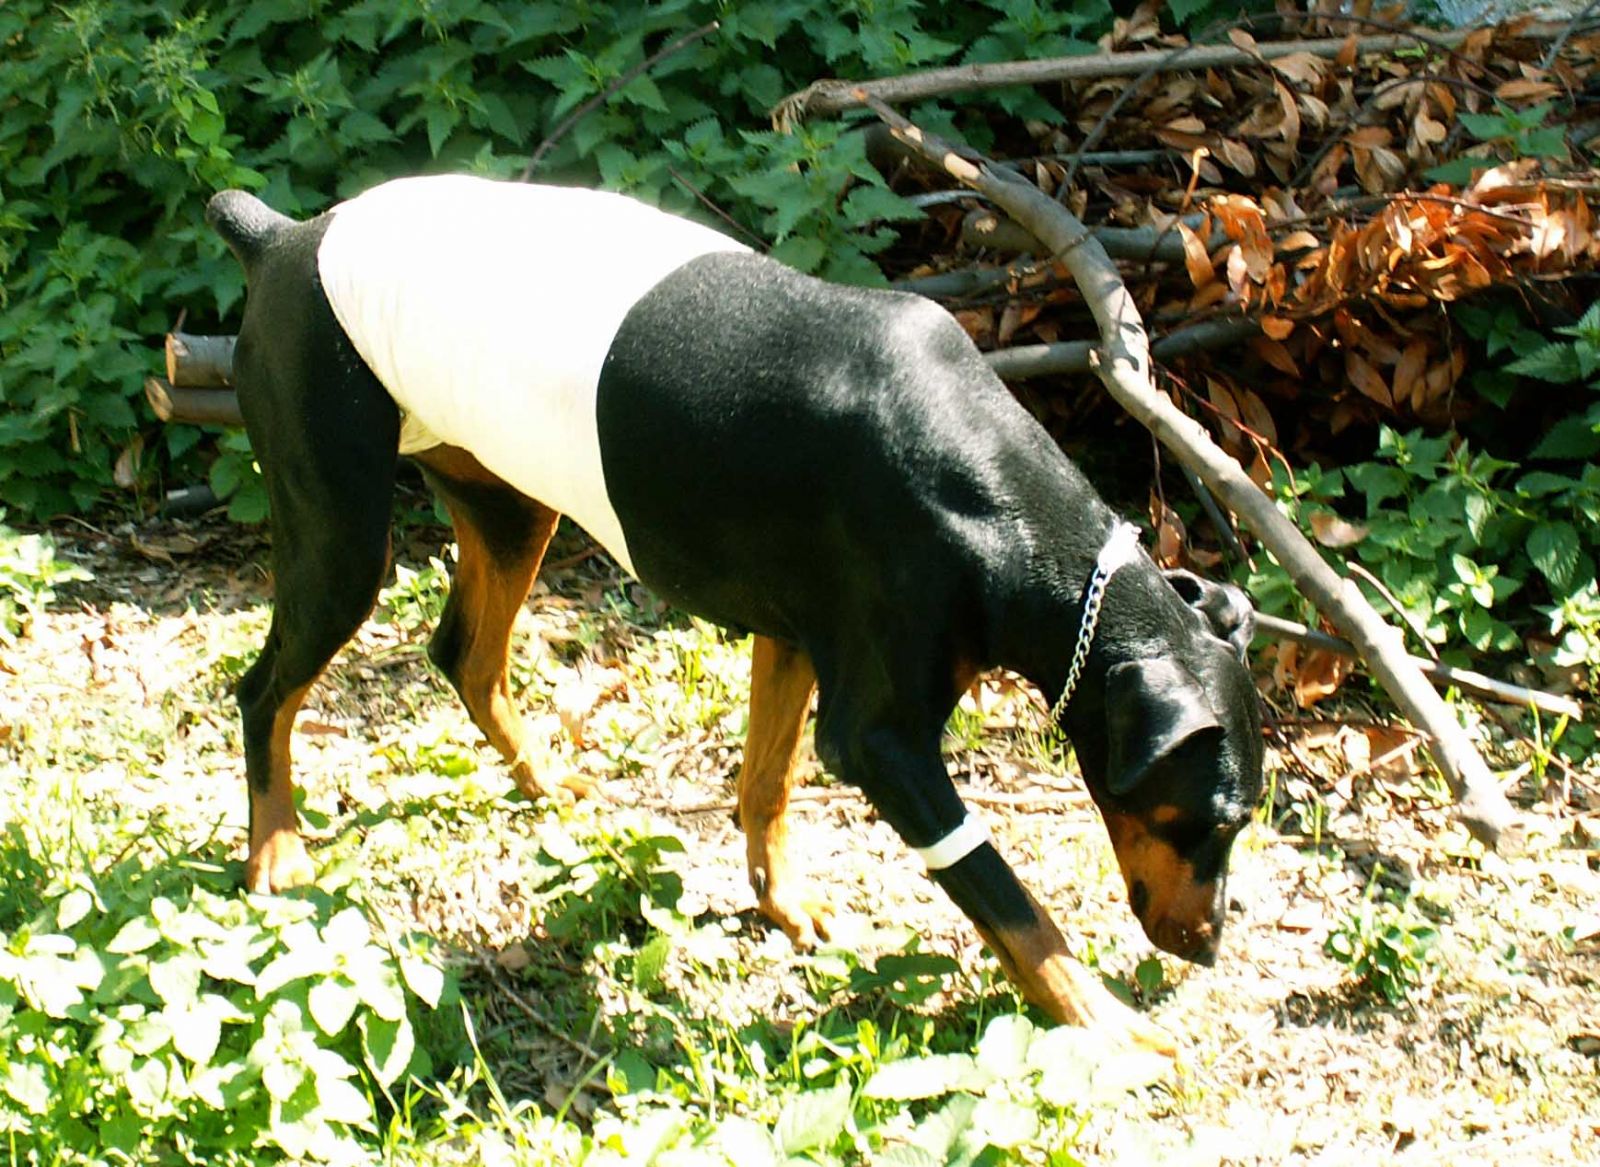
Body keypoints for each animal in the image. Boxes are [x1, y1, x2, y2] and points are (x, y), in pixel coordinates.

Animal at [209, 175, 1260, 1056]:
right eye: (1211, 818)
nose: (1209, 948)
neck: (1002, 507)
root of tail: (283, 236)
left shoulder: (793, 634)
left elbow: (767, 781)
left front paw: (784, 902)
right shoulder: (881, 741)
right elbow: (1007, 898)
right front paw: (1108, 1024)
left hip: (510, 506)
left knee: (464, 652)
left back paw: (545, 777)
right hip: (343, 537)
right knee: (264, 691)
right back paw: (277, 851)